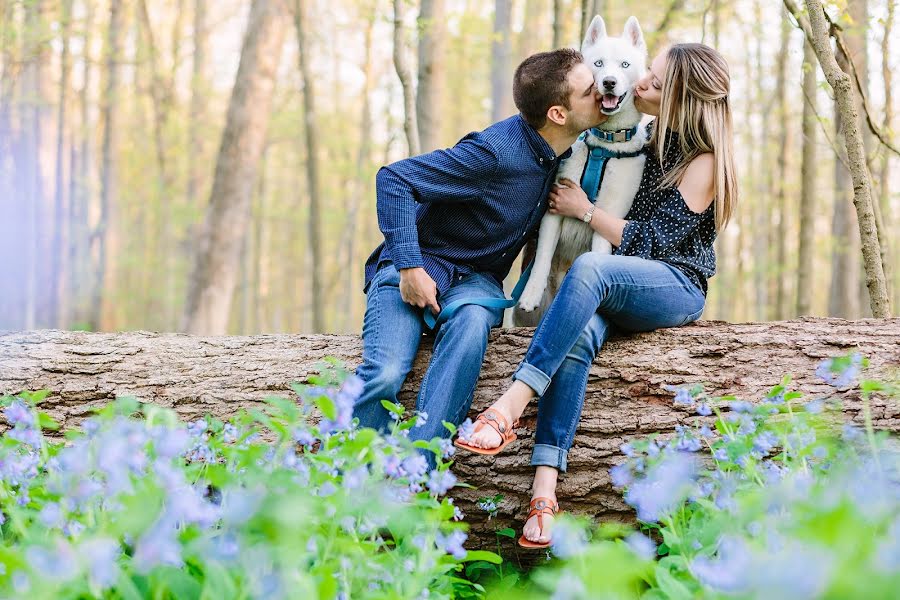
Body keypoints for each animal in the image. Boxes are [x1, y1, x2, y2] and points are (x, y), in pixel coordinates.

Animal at [516, 15, 652, 324]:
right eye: (598, 63)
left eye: (624, 65)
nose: (609, 82)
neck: (604, 144)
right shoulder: (554, 207)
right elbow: (542, 258)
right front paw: (531, 293)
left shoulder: (609, 215)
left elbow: (599, 252)